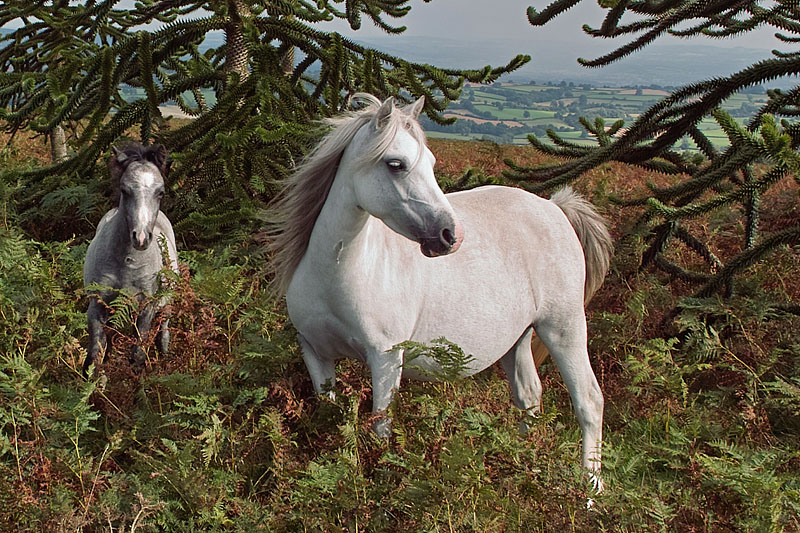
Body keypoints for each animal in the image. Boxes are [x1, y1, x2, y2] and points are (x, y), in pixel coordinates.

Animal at [83, 143, 178, 375]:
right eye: (125, 190)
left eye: (160, 192)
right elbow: (94, 356)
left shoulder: (146, 307)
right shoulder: (97, 305)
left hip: (166, 303)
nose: (141, 238)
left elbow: (138, 355)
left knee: (163, 332)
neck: (126, 263)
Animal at [268, 94, 613, 487]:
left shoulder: (386, 358)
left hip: (563, 328)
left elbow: (381, 425)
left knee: (588, 401)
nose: (451, 236)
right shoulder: (316, 352)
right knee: (529, 397)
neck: (339, 273)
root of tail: (555, 208)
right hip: (518, 339)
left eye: (431, 163)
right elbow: (331, 414)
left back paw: (590, 487)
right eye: (396, 164)